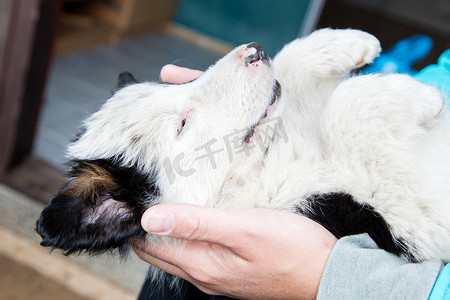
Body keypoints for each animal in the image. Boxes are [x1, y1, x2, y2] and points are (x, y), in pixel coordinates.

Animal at [37, 29, 448, 264]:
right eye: (182, 125)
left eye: (175, 85)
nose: (254, 50)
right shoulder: (400, 218)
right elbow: (347, 104)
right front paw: (429, 98)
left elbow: (292, 66)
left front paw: (352, 41)